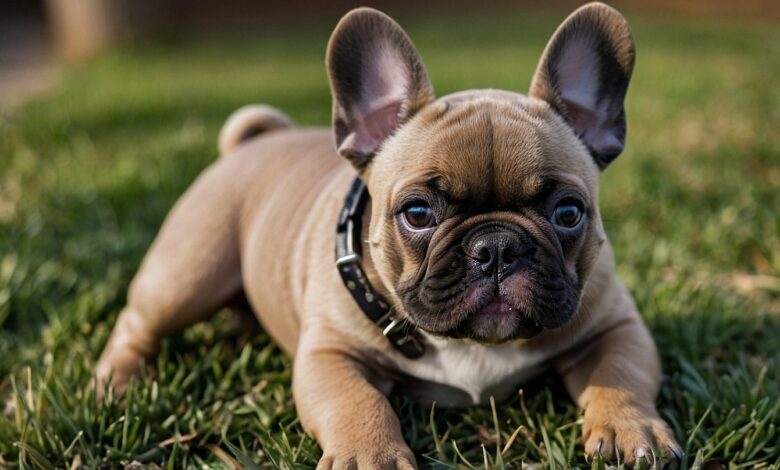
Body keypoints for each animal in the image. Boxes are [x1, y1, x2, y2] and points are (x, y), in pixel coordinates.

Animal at [96, 2, 684, 466]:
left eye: (568, 213)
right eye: (418, 213)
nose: (495, 247)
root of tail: (250, 144)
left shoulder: (617, 325)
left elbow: (621, 373)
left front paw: (631, 428)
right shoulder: (330, 355)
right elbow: (357, 402)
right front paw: (368, 455)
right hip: (189, 272)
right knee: (139, 320)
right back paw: (116, 383)